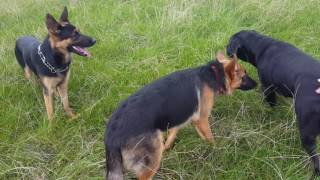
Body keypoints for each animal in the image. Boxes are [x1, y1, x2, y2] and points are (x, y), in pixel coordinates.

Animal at [106, 52, 256, 180]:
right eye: (244, 75)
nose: (257, 83)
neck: (214, 74)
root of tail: (112, 133)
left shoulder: (179, 118)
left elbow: (173, 134)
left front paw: (167, 147)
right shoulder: (201, 120)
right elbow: (210, 138)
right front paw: (217, 149)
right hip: (151, 162)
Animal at [226, 30, 320, 176]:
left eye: (230, 44)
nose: (226, 48)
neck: (261, 45)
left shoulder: (268, 88)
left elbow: (271, 104)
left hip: (307, 133)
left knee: (315, 158)